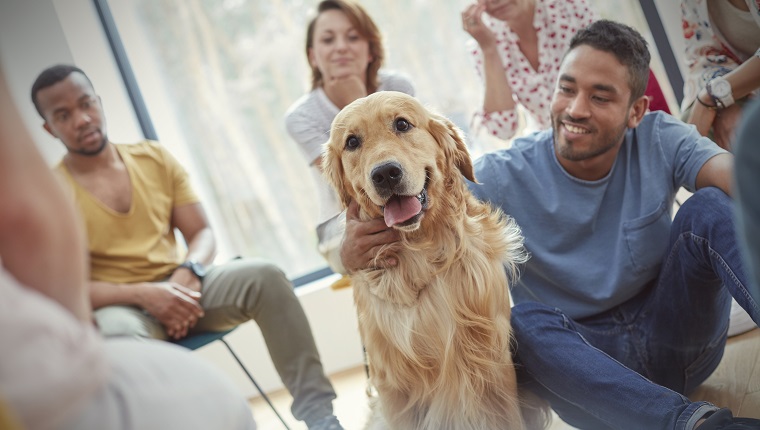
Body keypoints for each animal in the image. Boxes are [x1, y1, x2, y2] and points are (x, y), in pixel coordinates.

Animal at [324, 92, 544, 428]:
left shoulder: (492, 363)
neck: (418, 254)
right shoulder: (393, 386)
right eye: (351, 142)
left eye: (402, 124)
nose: (385, 174)